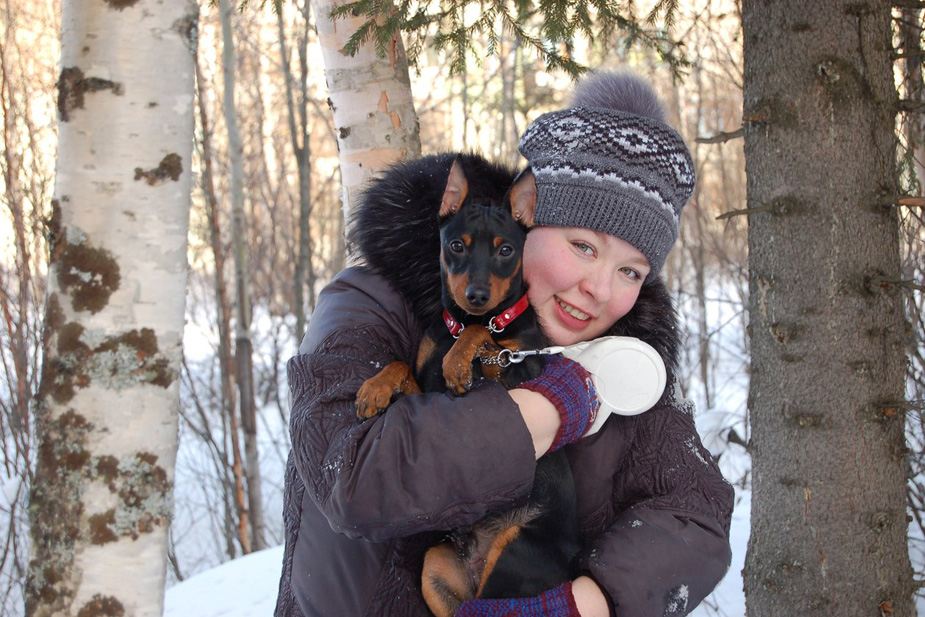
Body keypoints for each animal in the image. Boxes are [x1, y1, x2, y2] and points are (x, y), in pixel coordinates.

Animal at [354, 157, 580, 617]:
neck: (456, 323)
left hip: (515, 550)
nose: (476, 295)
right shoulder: (425, 392)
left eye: (506, 250)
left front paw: (458, 361)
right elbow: (402, 363)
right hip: (435, 568)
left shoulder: (516, 374)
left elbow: (481, 333)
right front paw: (374, 388)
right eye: (456, 245)